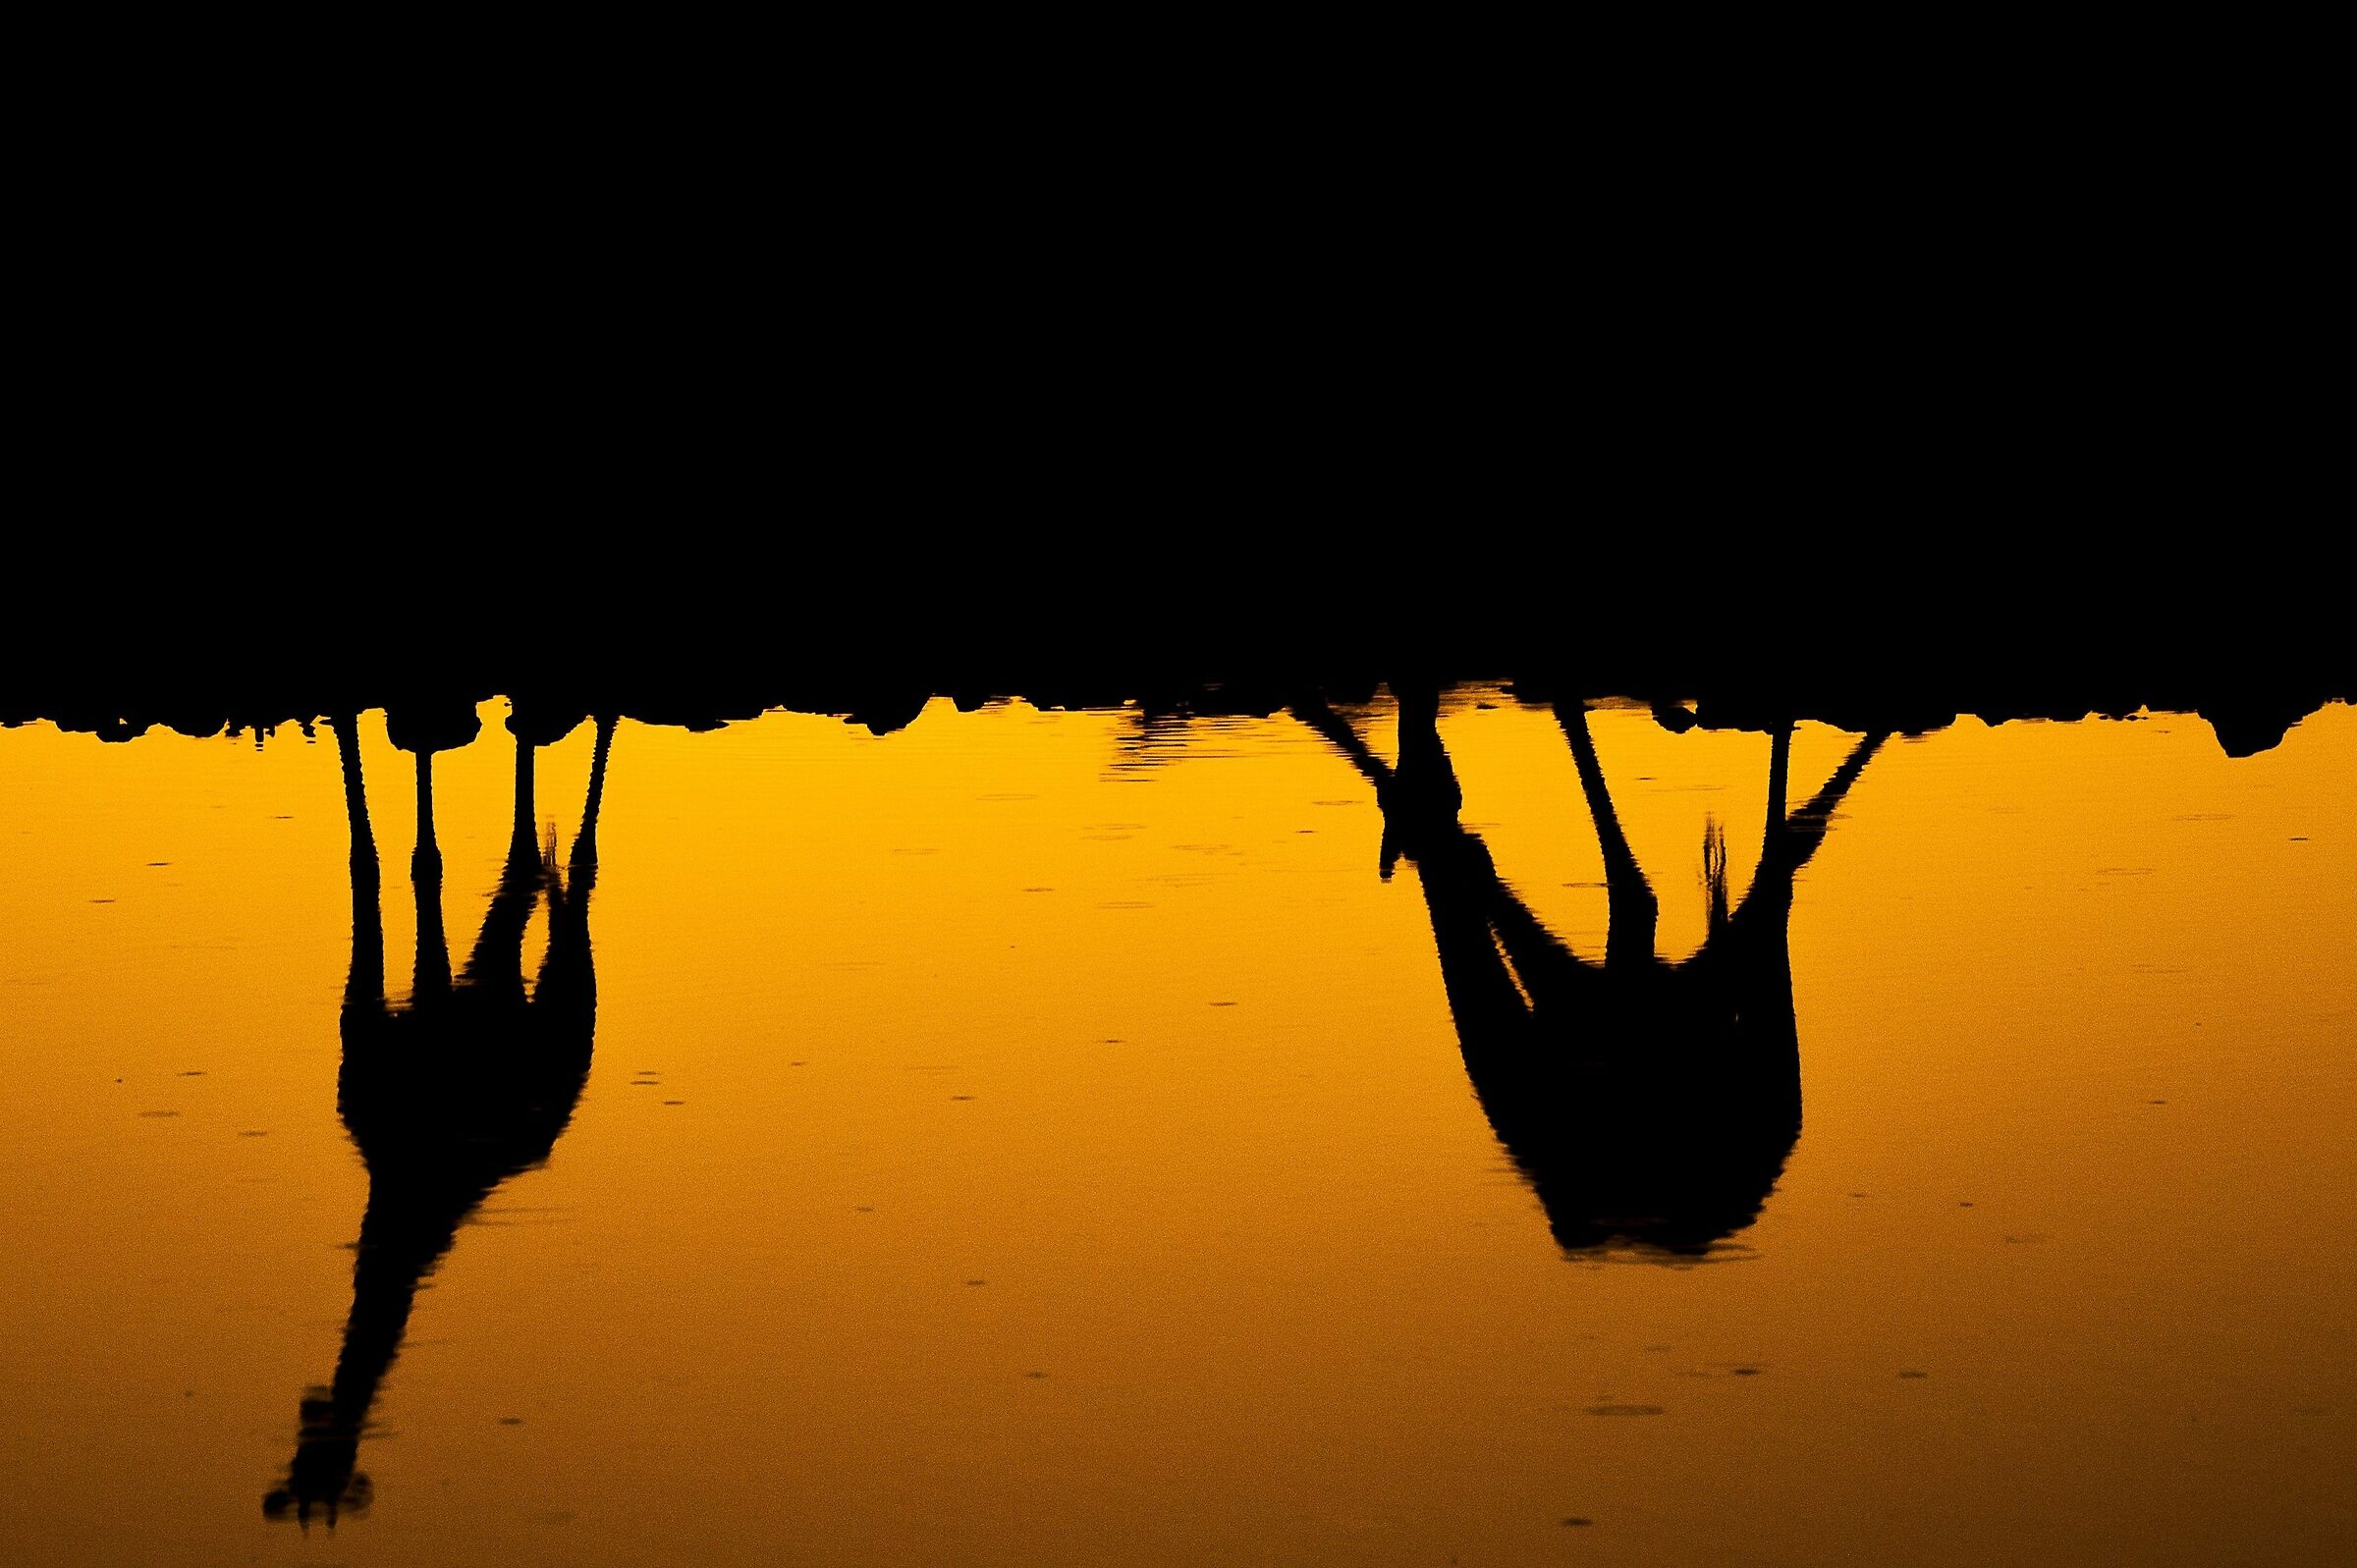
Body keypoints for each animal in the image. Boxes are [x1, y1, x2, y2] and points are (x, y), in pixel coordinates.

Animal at [263, 704, 616, 1528]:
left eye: (337, 1468)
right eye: (303, 1465)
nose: (319, 1413)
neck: (402, 1177)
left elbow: (427, 857)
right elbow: (375, 854)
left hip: (566, 999)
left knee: (573, 872)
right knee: (520, 863)